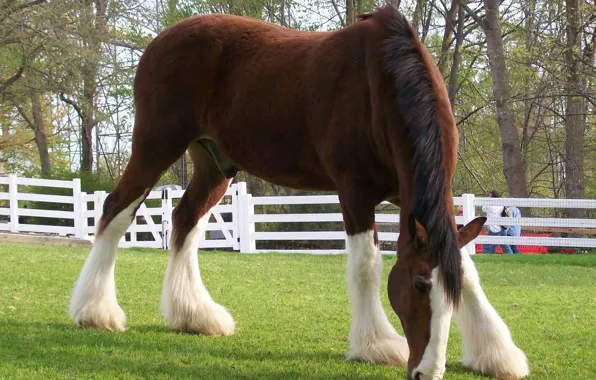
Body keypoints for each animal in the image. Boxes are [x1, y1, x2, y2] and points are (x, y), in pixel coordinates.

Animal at [71, 5, 532, 380]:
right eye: (419, 285)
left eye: (448, 296)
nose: (426, 372)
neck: (383, 85)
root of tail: (161, 40)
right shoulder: (355, 191)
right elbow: (366, 265)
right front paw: (377, 345)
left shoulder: (413, 199)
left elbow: (466, 269)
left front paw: (497, 355)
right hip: (155, 144)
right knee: (116, 211)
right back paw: (94, 311)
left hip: (214, 164)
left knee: (185, 221)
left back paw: (195, 317)